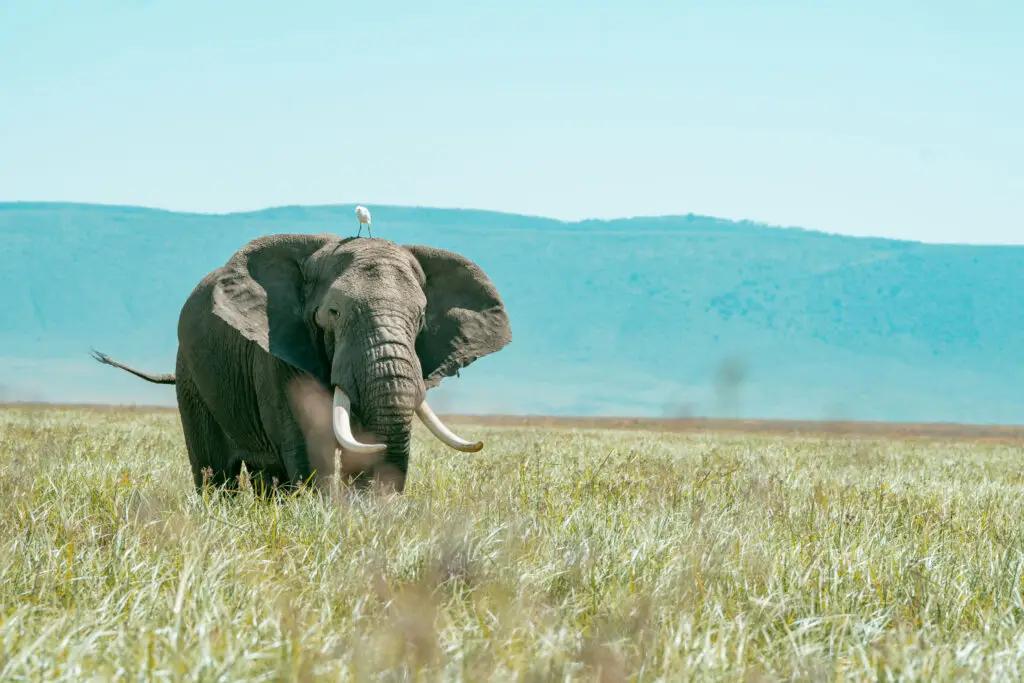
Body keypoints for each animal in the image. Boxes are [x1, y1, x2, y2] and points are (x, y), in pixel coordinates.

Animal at [92, 233, 511, 494]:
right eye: (334, 313)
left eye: (420, 319)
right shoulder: (278, 350)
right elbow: (312, 447)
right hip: (192, 375)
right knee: (216, 472)